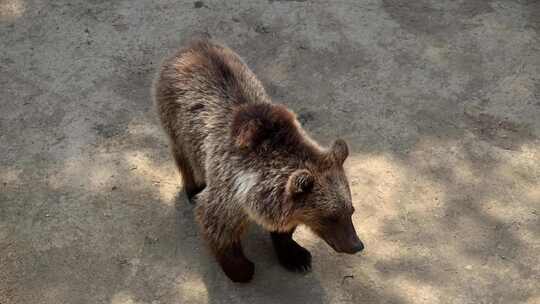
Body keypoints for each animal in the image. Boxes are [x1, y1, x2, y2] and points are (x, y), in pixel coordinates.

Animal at [152, 38, 362, 282]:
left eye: (350, 211)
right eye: (331, 217)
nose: (356, 245)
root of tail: (193, 44)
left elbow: (285, 230)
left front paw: (296, 256)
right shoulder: (229, 189)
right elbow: (217, 224)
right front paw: (241, 269)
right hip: (176, 119)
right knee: (184, 154)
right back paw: (193, 188)